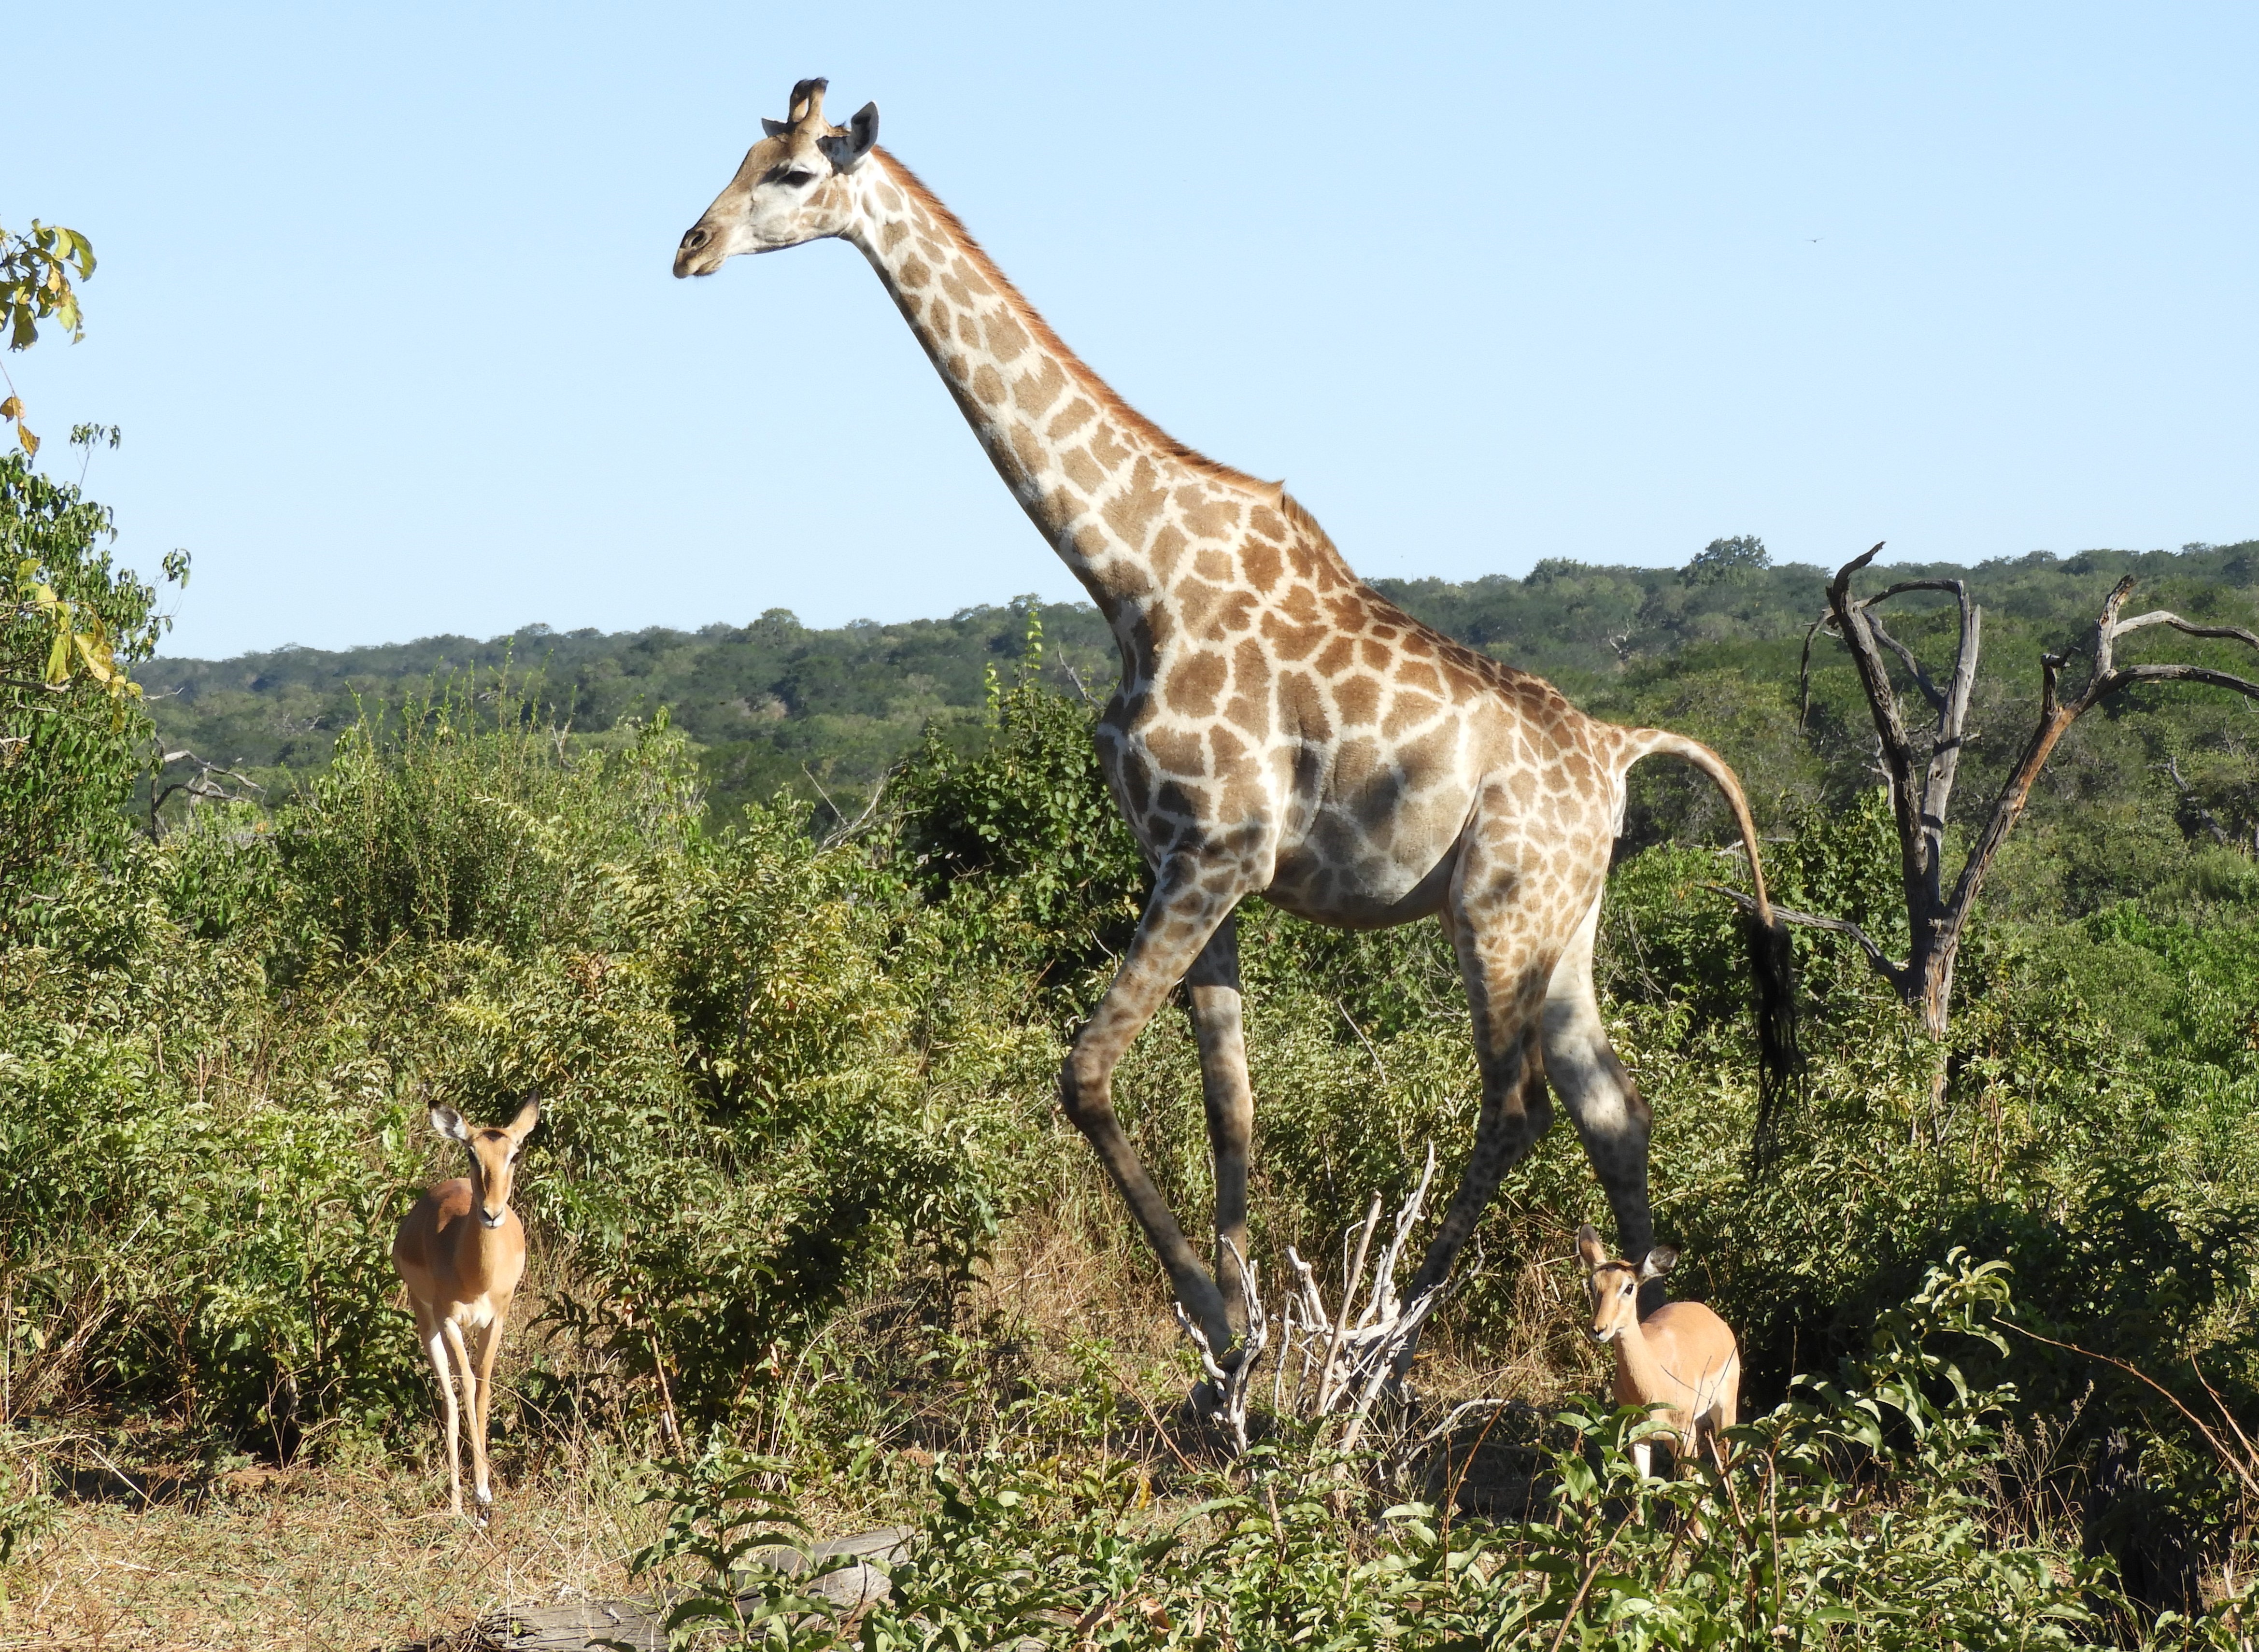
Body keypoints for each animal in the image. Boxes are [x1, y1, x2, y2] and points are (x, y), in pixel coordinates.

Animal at [673, 81, 1797, 1361]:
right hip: (1567, 924)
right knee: (1615, 1108)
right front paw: (1241, 1347)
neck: (1132, 576)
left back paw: (1387, 1343)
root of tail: (1615, 751)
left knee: (1512, 1107)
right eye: (743, 155)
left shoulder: (1215, 852)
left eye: (797, 174)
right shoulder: (1192, 862)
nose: (689, 246)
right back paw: (1641, 1337)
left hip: (1496, 908)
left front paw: (1221, 1323)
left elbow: (1085, 1073)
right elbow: (1232, 1105)